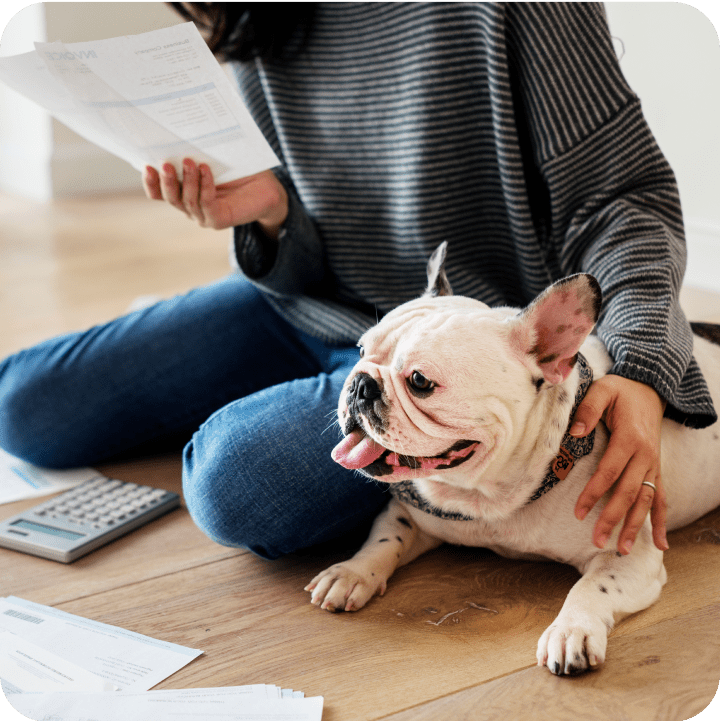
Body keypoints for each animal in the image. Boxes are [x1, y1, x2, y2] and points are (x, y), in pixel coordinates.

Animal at [304, 243, 720, 676]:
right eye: (361, 351)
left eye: (420, 382)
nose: (359, 384)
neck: (487, 496)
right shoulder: (408, 511)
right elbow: (385, 539)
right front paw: (351, 572)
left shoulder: (629, 554)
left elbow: (592, 587)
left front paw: (570, 631)